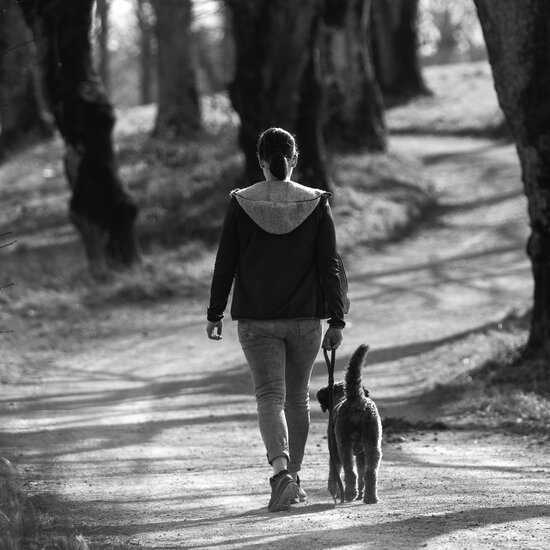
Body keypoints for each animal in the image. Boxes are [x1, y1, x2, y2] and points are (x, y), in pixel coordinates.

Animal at [316, 348, 382, 506]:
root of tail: (355, 399)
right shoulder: (361, 453)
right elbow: (362, 472)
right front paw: (360, 492)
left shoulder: (334, 449)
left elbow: (334, 471)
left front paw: (334, 491)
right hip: (372, 443)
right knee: (370, 472)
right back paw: (370, 497)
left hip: (344, 445)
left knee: (349, 472)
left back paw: (349, 494)